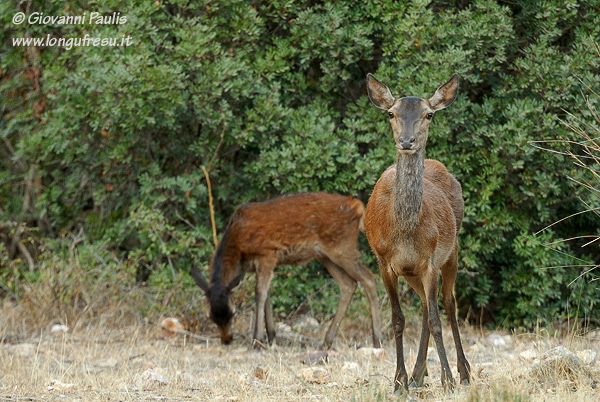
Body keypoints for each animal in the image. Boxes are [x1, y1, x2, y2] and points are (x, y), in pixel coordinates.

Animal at [190, 192, 382, 348]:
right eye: (211, 316)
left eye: (232, 314)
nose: (226, 340)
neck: (239, 247)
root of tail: (359, 207)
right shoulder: (259, 264)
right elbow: (266, 294)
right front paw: (271, 335)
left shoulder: (266, 253)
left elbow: (260, 293)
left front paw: (257, 339)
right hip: (326, 255)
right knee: (348, 284)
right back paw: (327, 341)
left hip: (342, 246)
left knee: (369, 279)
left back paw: (377, 339)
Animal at [364, 74, 472, 392]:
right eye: (391, 113)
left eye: (428, 114)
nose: (407, 141)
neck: (404, 233)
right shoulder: (385, 262)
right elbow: (398, 320)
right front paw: (398, 380)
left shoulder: (430, 261)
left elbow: (437, 320)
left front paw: (447, 379)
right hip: (412, 272)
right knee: (425, 306)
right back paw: (417, 375)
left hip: (452, 250)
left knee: (448, 304)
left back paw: (463, 372)